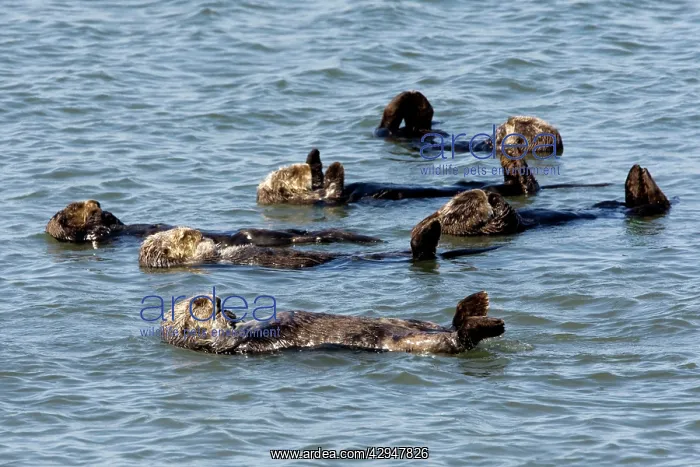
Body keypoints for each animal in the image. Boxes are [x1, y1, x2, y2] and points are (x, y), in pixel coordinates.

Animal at [415, 165, 672, 237]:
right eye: (465, 208)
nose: (479, 193)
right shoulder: (499, 227)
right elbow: (505, 216)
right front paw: (495, 198)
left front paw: (491, 192)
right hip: (646, 209)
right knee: (657, 205)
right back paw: (641, 177)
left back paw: (635, 173)